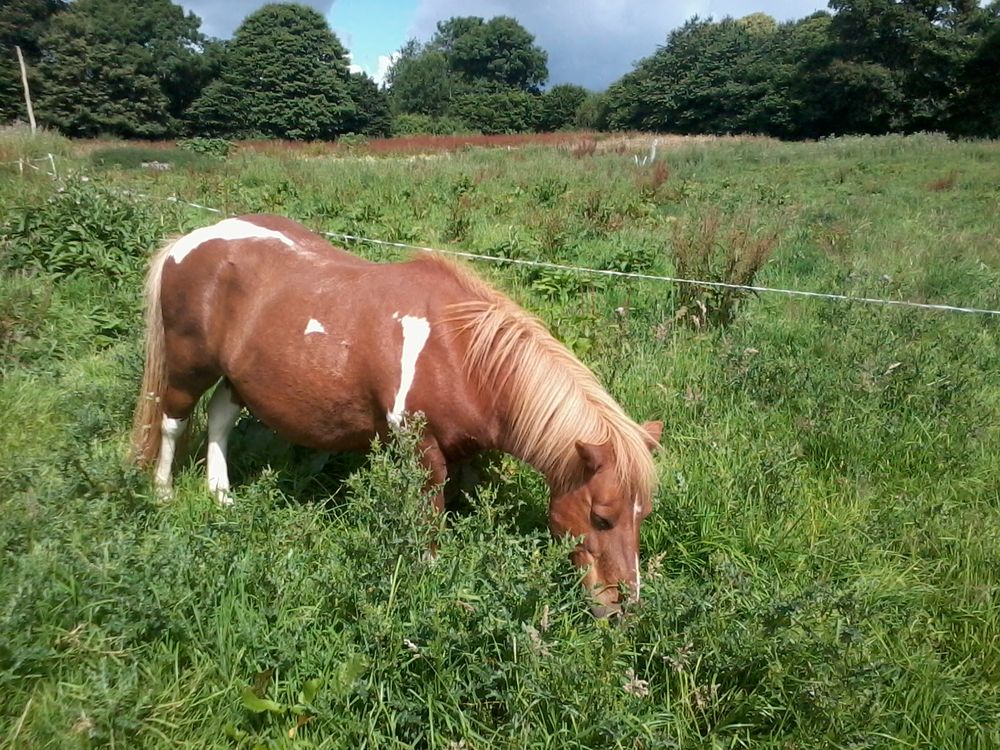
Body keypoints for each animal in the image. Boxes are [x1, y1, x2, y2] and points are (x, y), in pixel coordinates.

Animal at [133, 216, 664, 616]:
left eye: (643, 515)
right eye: (601, 518)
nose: (622, 608)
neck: (460, 353)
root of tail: (187, 242)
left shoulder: (469, 450)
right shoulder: (421, 450)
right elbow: (429, 521)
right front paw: (429, 581)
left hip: (237, 376)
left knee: (220, 418)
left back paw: (221, 495)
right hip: (188, 367)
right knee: (173, 422)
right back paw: (161, 493)